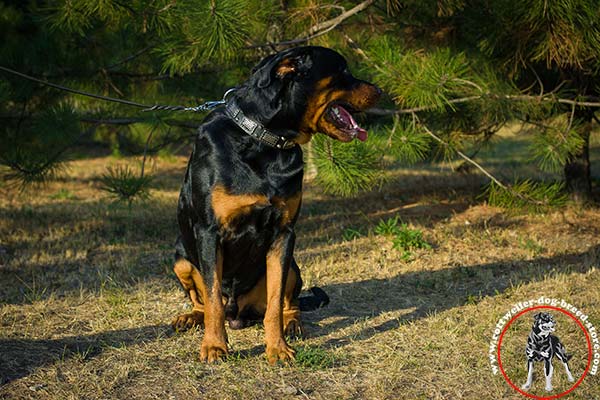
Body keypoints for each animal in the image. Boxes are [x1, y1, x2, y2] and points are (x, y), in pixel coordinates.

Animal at [169, 45, 380, 364]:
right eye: (342, 71)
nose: (380, 91)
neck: (265, 140)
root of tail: (238, 314)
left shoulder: (284, 233)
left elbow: (274, 302)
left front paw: (278, 348)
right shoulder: (209, 232)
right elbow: (213, 296)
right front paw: (215, 346)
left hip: (292, 264)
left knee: (288, 303)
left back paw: (293, 324)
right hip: (180, 258)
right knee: (203, 302)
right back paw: (191, 318)